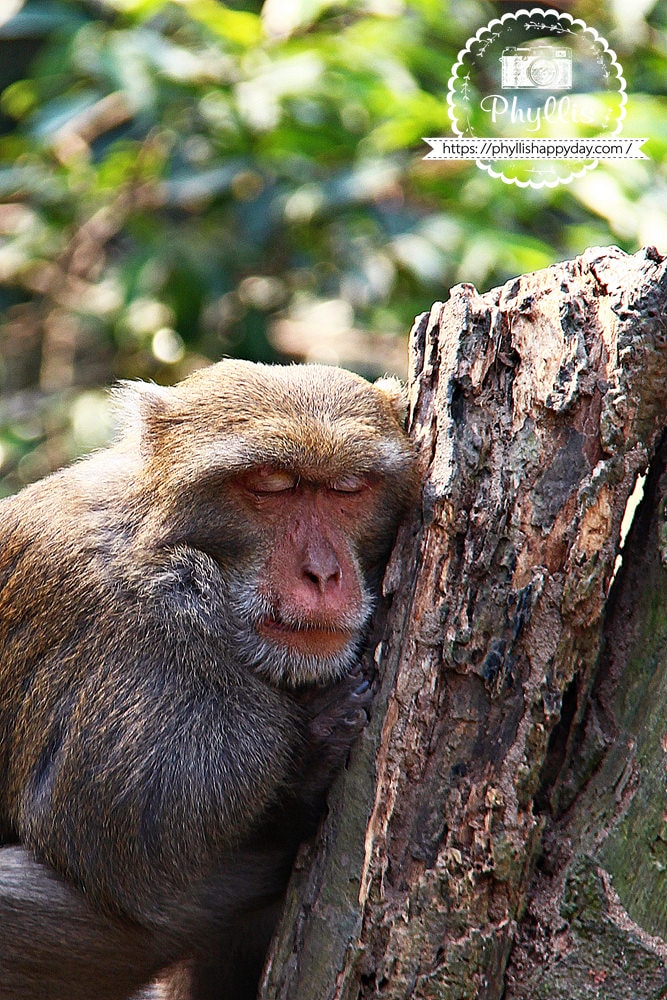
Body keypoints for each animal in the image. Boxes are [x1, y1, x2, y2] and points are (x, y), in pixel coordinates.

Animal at [0, 360, 418, 1000]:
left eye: (348, 488)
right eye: (271, 485)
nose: (323, 574)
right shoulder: (132, 641)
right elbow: (136, 867)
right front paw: (304, 774)